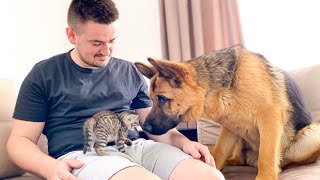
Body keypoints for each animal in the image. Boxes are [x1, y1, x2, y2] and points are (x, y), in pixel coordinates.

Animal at [135, 45, 320, 180]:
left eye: (162, 98)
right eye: (151, 99)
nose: (144, 128)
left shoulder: (270, 121)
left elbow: (266, 158)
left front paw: (266, 176)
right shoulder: (229, 128)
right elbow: (219, 151)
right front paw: (212, 164)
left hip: (313, 133)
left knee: (278, 161)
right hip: (239, 133)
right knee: (239, 158)